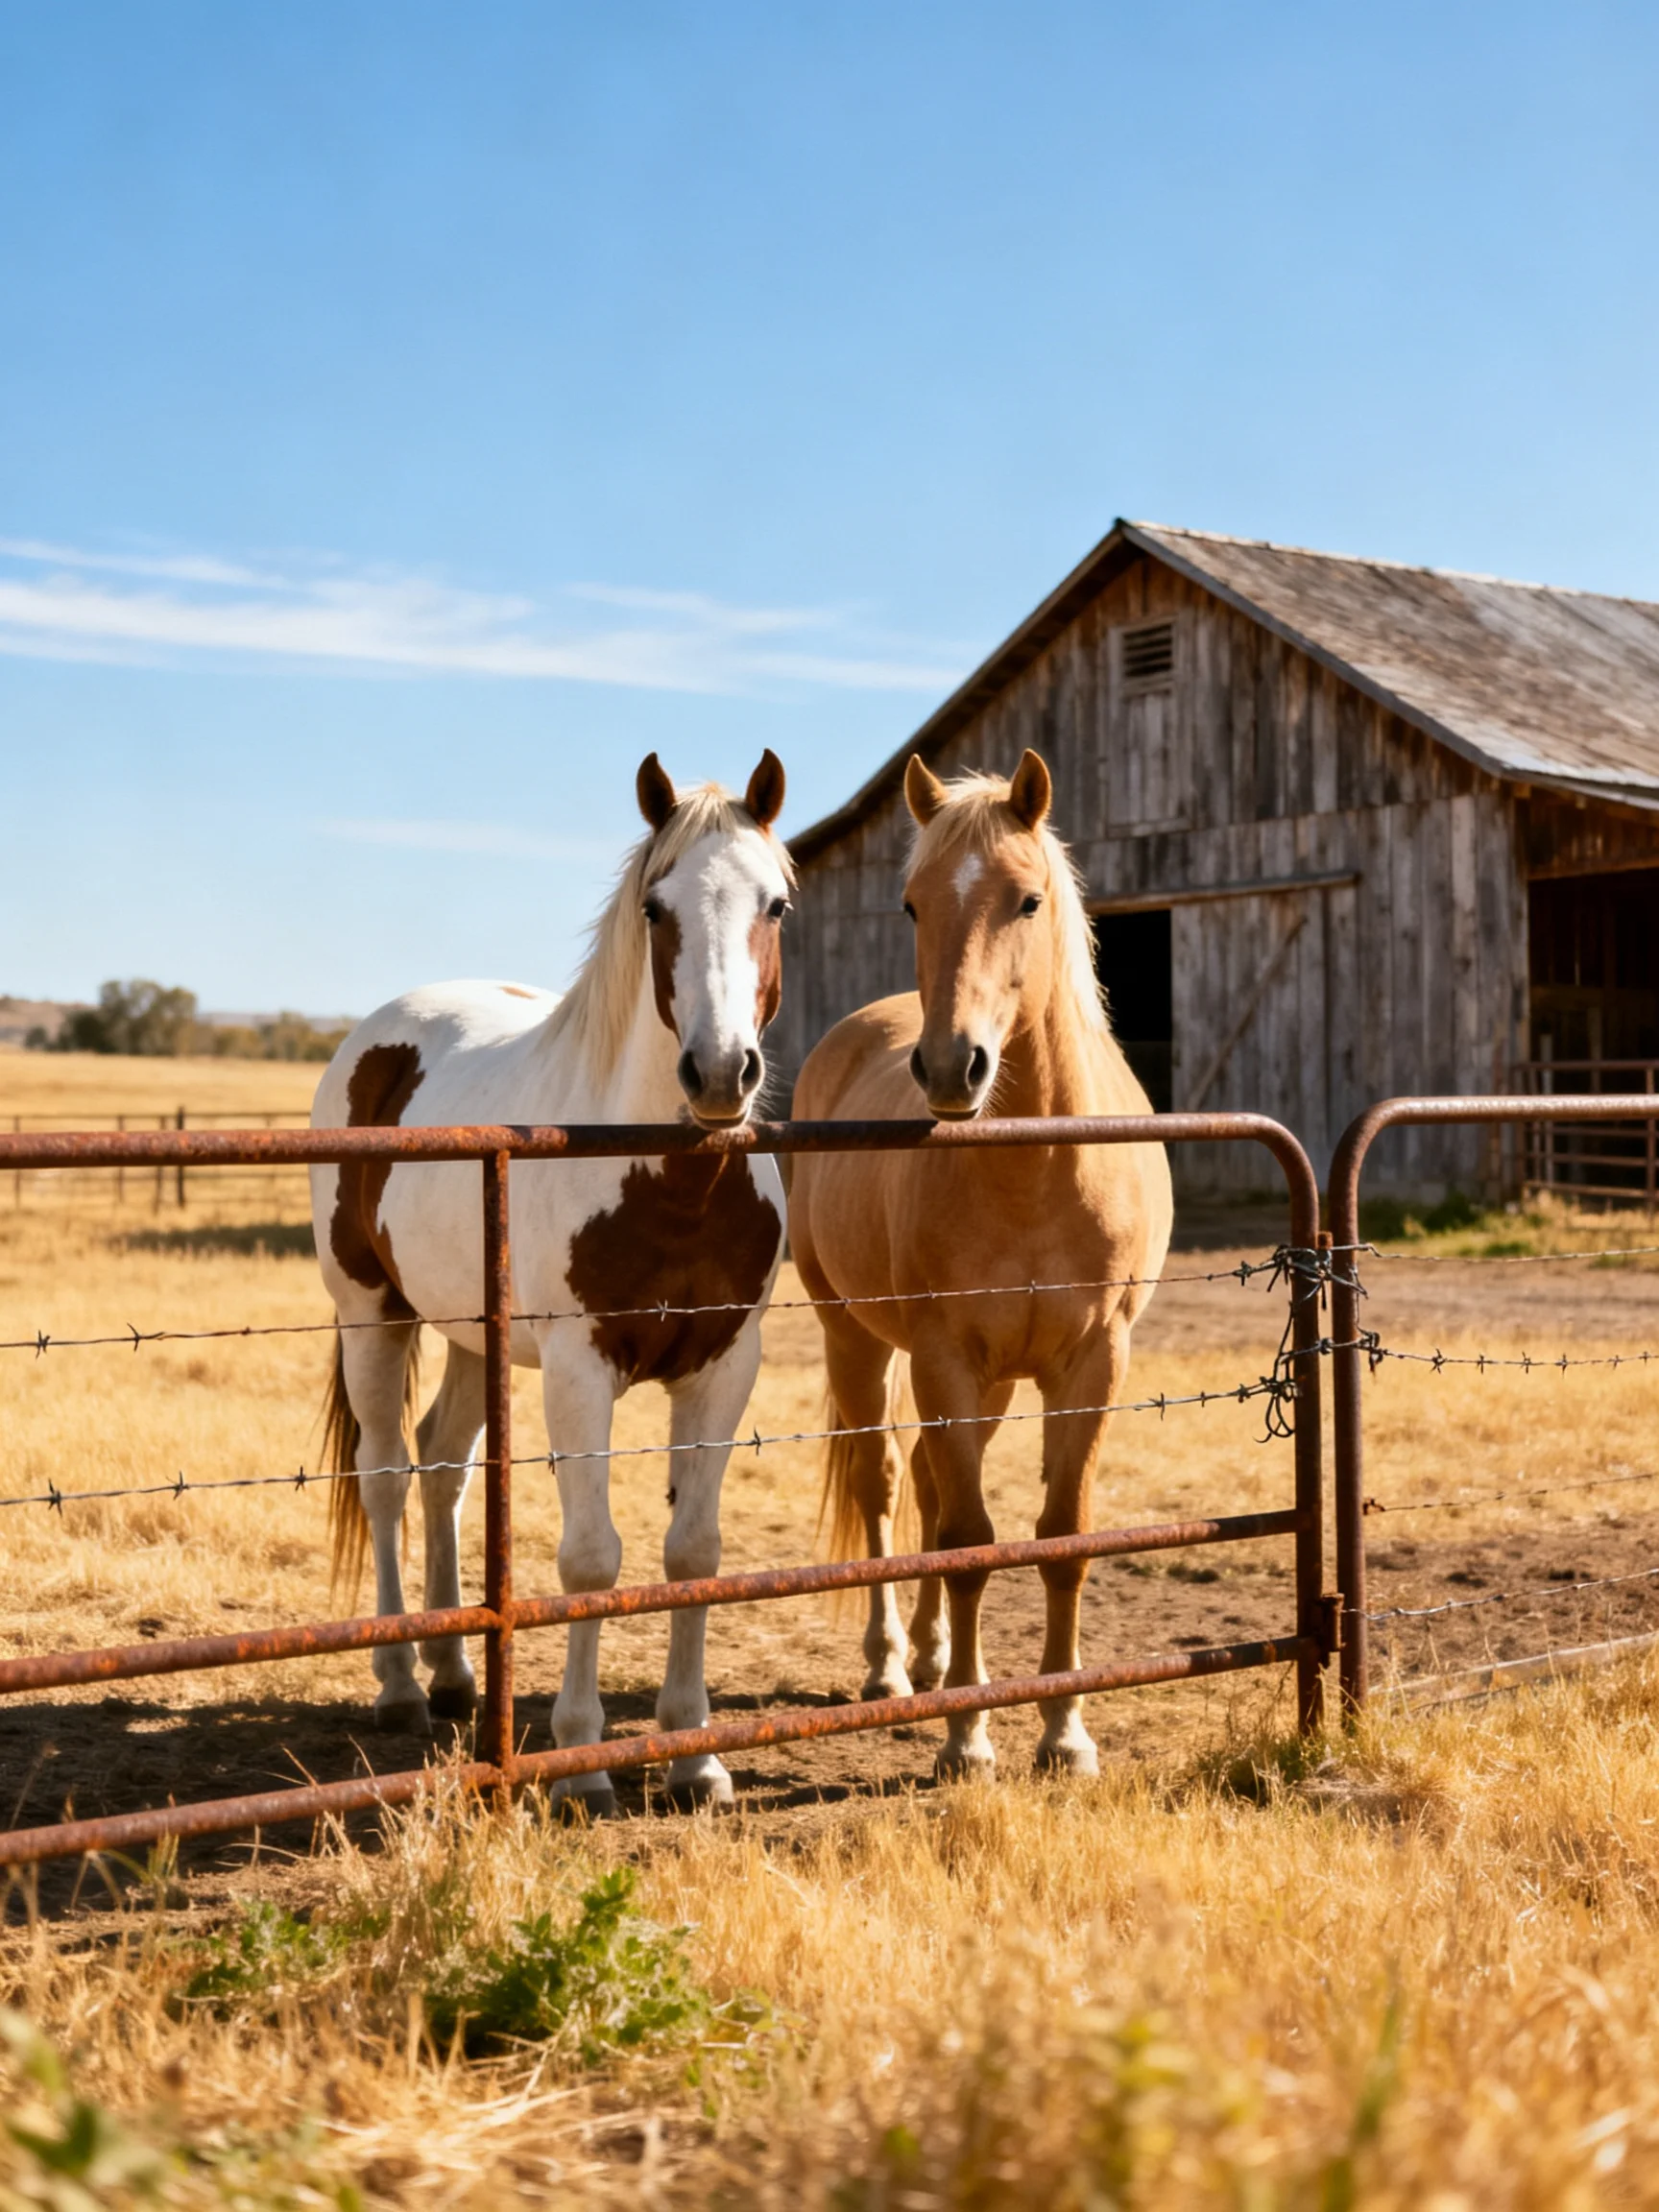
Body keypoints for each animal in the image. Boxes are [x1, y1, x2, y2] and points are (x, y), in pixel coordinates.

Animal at [309, 749, 792, 1812]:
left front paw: (693, 1751)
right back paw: (401, 1685)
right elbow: (591, 1557)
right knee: (387, 1474)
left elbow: (695, 1553)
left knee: (443, 1466)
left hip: (466, 1331)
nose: (719, 1073)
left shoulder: (725, 1367)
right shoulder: (580, 1370)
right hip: (374, 1314)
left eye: (777, 903)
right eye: (656, 907)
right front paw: (581, 1760)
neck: (673, 1181)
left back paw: (455, 1675)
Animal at [788, 748, 1173, 1779]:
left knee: (924, 1476)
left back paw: (925, 1658)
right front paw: (968, 1737)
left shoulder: (1091, 1363)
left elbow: (1060, 1537)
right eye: (913, 904)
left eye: (1027, 900)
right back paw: (891, 1667)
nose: (950, 1066)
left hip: (993, 1385)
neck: (1034, 1166)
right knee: (885, 1481)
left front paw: (1064, 1730)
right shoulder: (944, 1357)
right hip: (857, 1340)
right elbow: (967, 1539)